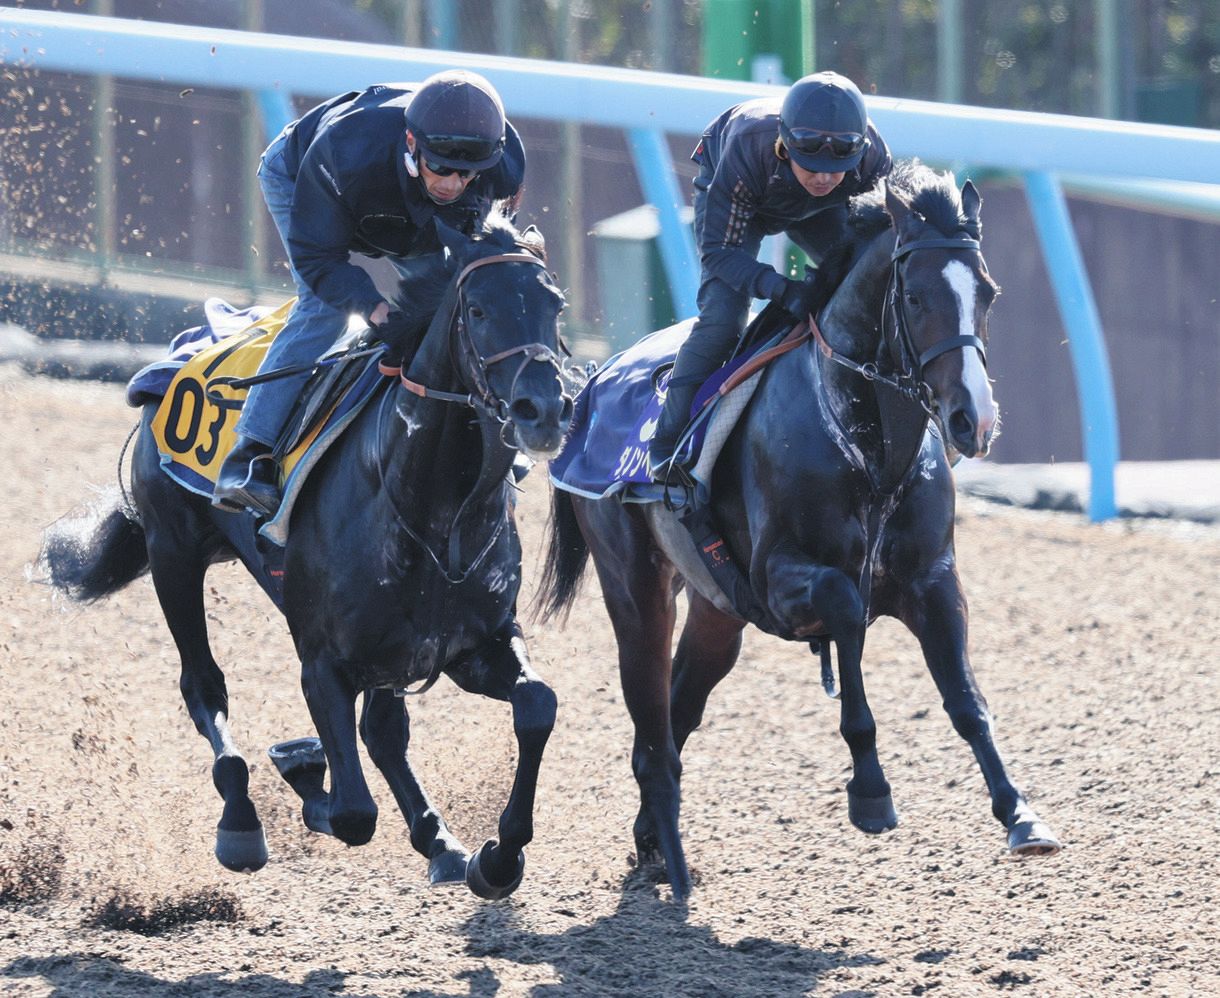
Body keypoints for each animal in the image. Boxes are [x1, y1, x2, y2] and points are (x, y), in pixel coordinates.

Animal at [39, 208, 570, 893]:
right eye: (477, 309)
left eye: (555, 306)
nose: (544, 410)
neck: (429, 507)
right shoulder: (322, 661)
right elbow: (351, 813)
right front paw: (300, 765)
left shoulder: (470, 643)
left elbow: (535, 704)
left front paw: (497, 855)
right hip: (172, 554)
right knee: (203, 687)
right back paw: (241, 819)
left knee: (382, 732)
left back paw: (440, 842)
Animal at [544, 161, 1058, 893]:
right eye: (915, 295)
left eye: (987, 292)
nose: (973, 421)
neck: (870, 453)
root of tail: (590, 384)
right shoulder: (781, 579)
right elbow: (845, 613)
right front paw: (870, 790)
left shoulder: (933, 581)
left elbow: (965, 699)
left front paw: (1021, 814)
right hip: (635, 588)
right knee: (651, 727)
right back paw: (671, 857)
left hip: (716, 612)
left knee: (677, 709)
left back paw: (649, 840)